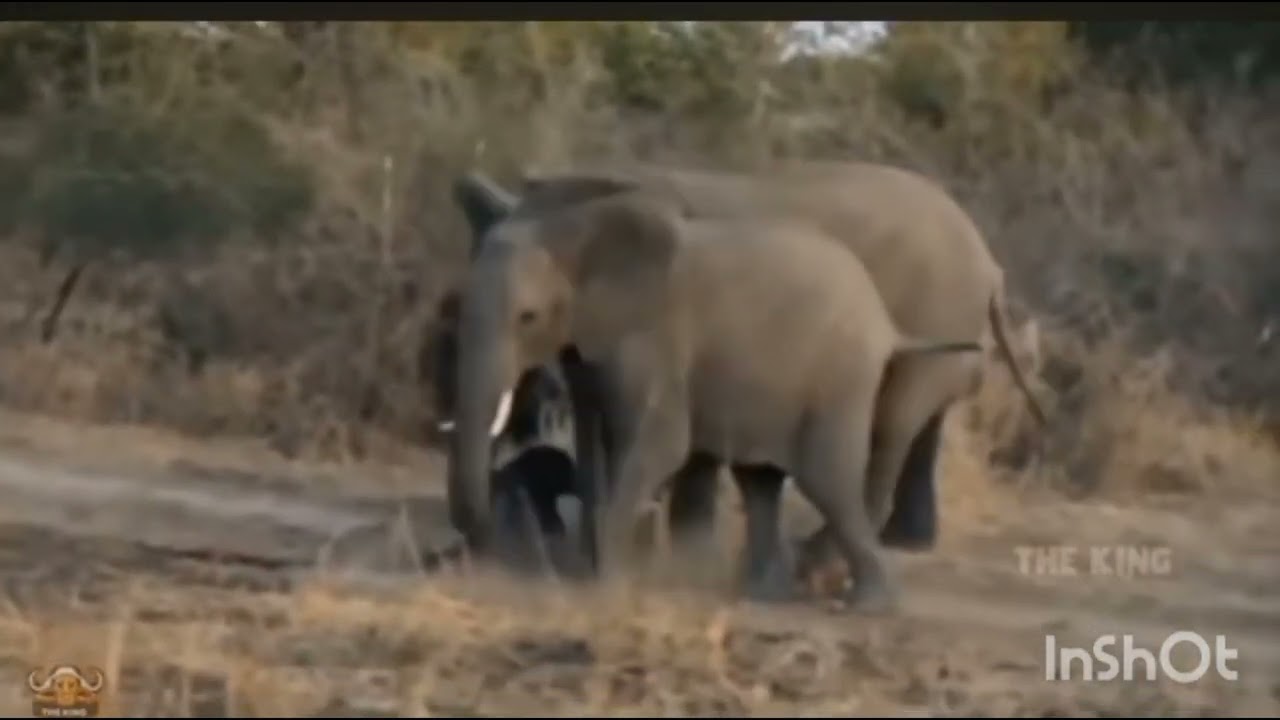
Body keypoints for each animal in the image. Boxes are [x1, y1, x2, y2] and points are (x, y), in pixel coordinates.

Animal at [445, 161, 1046, 574]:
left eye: (527, 317)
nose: (480, 546)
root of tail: (989, 262)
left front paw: (680, 554)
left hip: (935, 304)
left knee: (892, 424)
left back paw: (820, 561)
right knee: (923, 425)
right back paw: (906, 542)